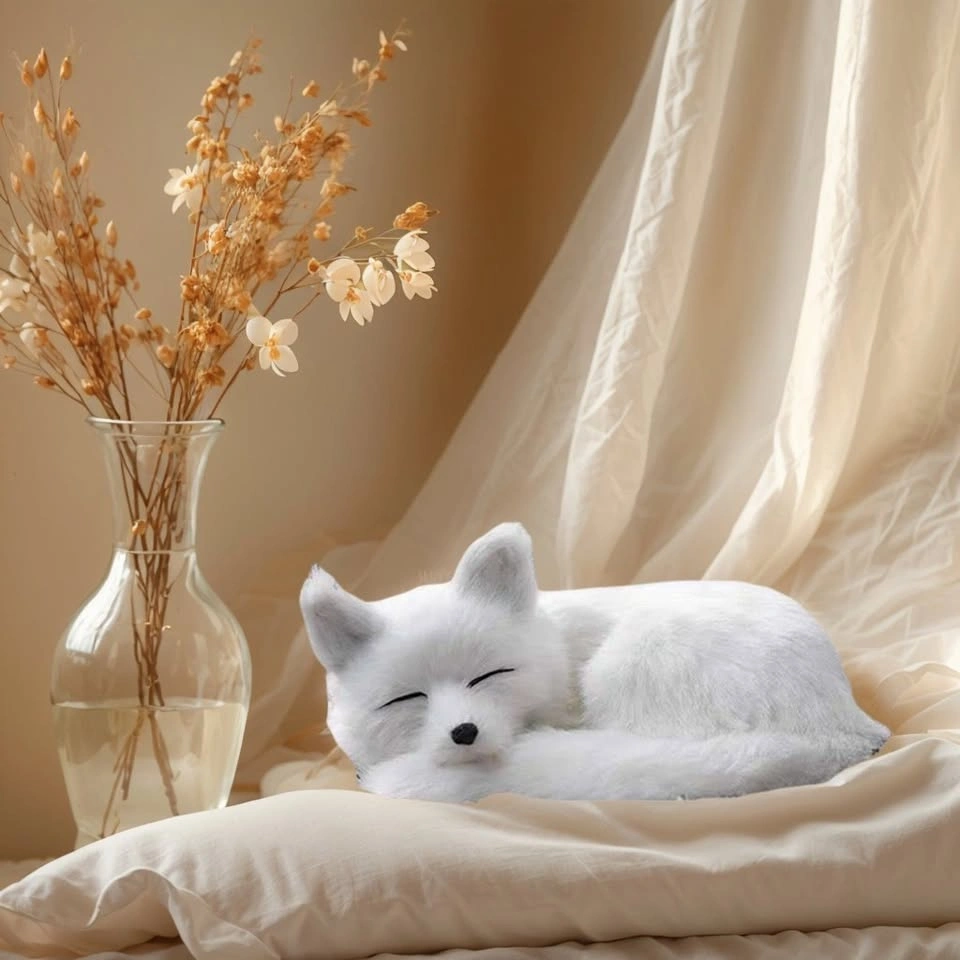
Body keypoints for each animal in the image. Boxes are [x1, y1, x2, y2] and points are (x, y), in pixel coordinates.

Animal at [299, 522, 889, 802]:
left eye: (489, 675)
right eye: (408, 698)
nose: (464, 732)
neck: (557, 646)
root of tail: (843, 727)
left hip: (638, 658)